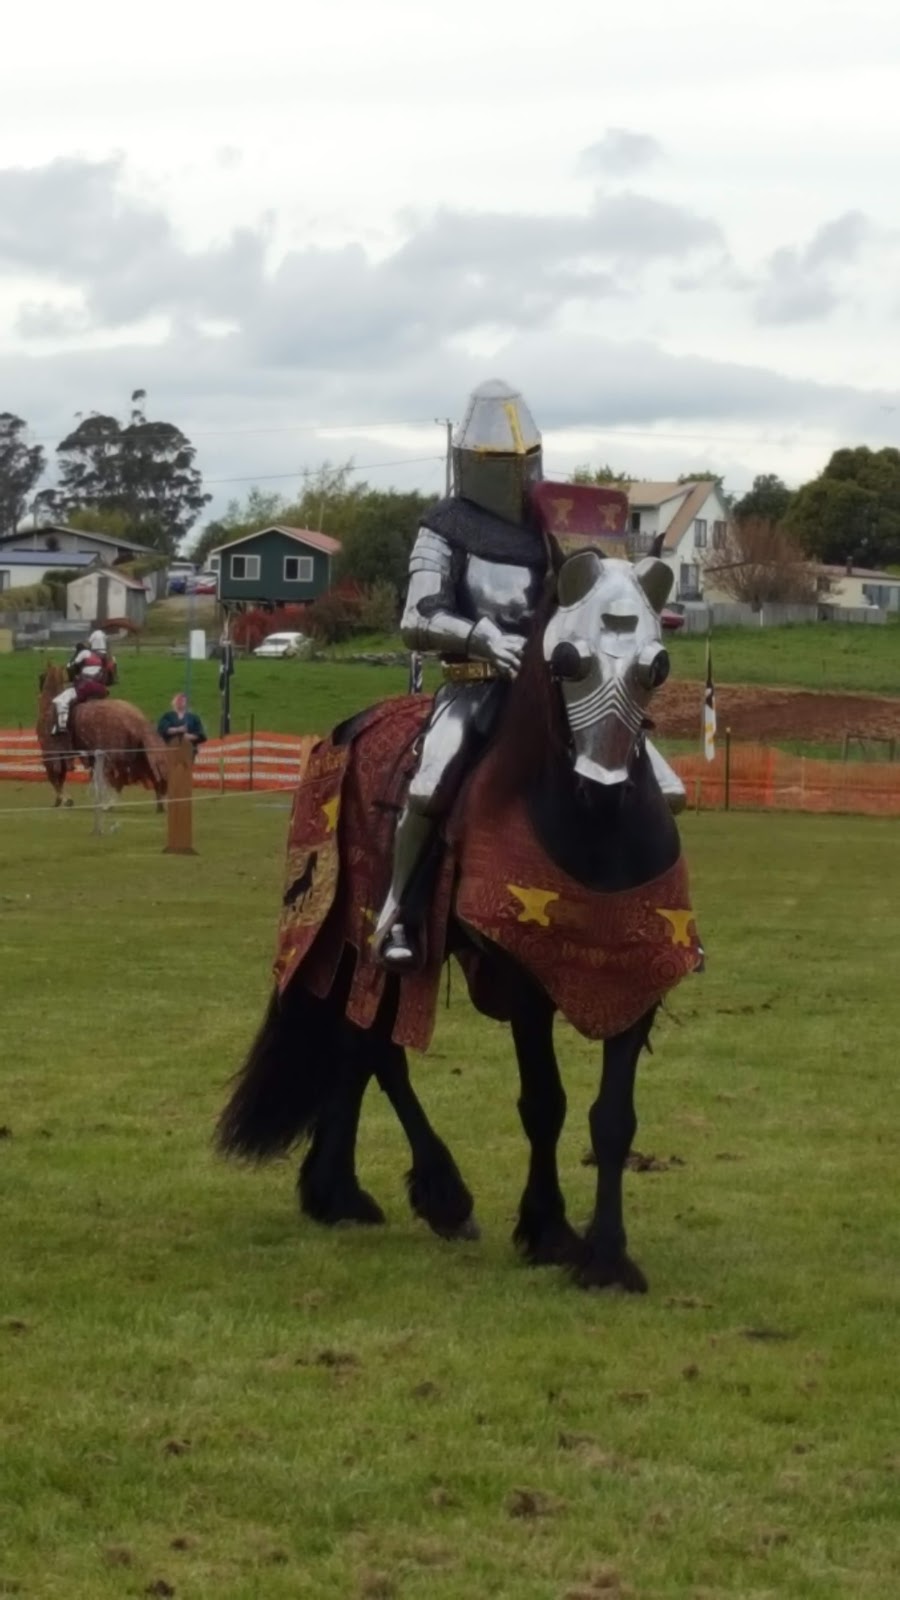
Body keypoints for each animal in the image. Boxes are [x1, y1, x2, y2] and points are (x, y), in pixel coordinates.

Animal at [37, 662, 167, 812]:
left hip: (115, 757)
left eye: (41, 676)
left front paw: (64, 799)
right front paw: (63, 800)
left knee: (120, 780)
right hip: (138, 755)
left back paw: (108, 805)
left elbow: (54, 778)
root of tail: (138, 720)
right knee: (152, 776)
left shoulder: (51, 753)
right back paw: (160, 804)